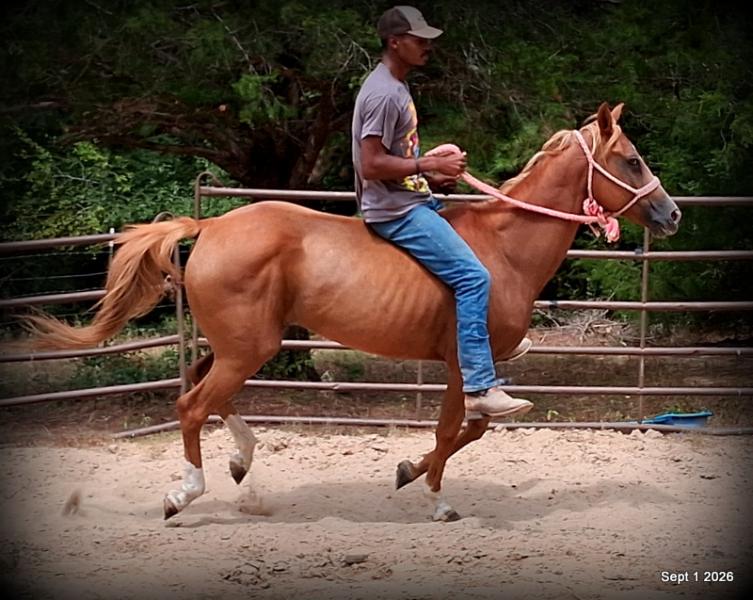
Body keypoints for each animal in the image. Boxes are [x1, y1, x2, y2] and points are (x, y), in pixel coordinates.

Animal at [27, 102, 681, 522]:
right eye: (630, 160)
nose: (671, 213)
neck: (503, 248)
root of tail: (209, 225)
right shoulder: (466, 364)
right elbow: (460, 427)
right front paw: (433, 495)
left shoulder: (465, 367)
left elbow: (467, 429)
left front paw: (409, 471)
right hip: (248, 348)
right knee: (192, 405)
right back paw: (183, 494)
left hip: (239, 345)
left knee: (200, 391)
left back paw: (241, 463)